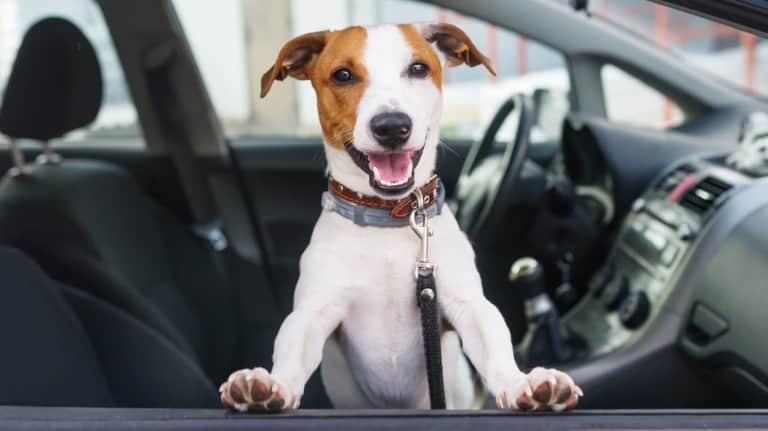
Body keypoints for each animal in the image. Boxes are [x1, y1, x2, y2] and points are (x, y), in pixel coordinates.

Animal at [219, 22, 580, 414]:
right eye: (342, 75)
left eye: (418, 68)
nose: (392, 126)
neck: (388, 219)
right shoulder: (314, 311)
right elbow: (292, 350)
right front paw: (271, 386)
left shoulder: (466, 304)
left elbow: (494, 341)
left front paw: (522, 383)